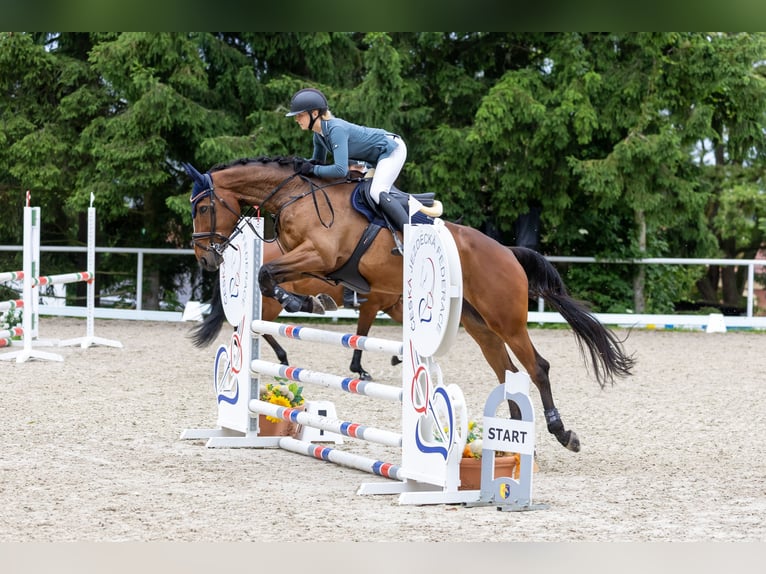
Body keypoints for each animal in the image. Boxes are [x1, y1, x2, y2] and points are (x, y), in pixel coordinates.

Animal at [189, 240, 403, 380]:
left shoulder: (392, 306)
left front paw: (397, 357)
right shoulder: (370, 307)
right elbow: (361, 335)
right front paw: (360, 370)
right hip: (271, 305)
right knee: (259, 329)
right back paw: (281, 358)